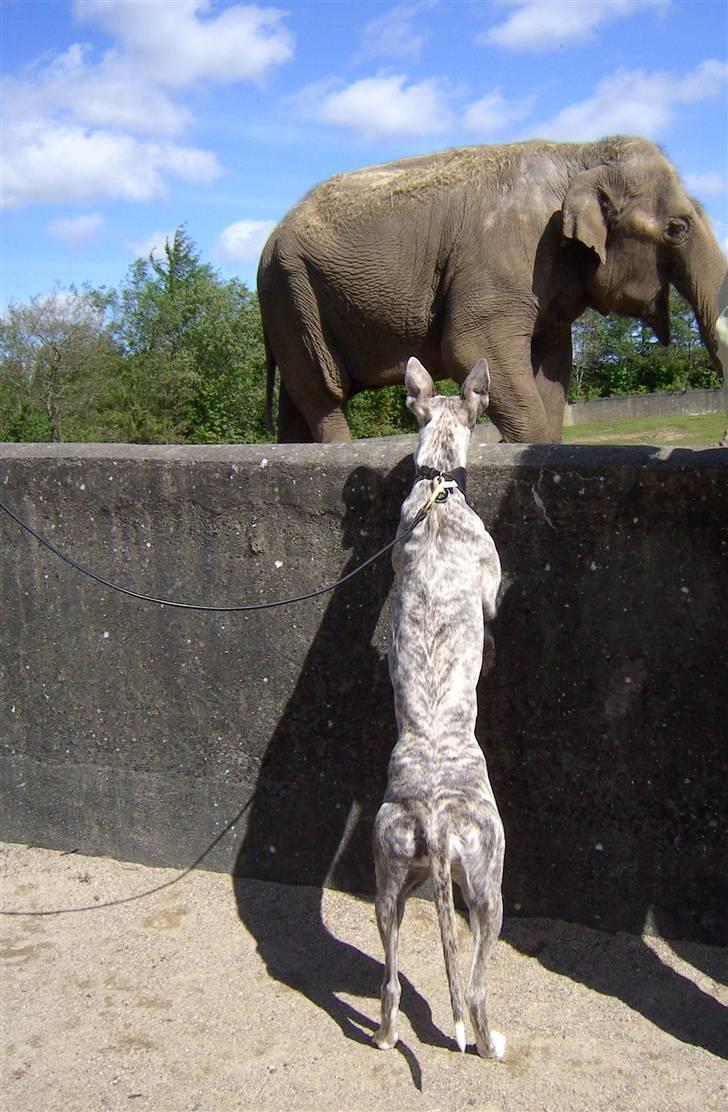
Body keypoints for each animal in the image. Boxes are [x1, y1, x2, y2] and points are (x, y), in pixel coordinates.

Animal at [257, 141, 728, 444]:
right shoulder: (504, 258)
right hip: (292, 295)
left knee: (297, 403)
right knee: (324, 394)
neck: (580, 153)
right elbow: (470, 345)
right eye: (677, 228)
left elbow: (552, 364)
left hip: (292, 305)